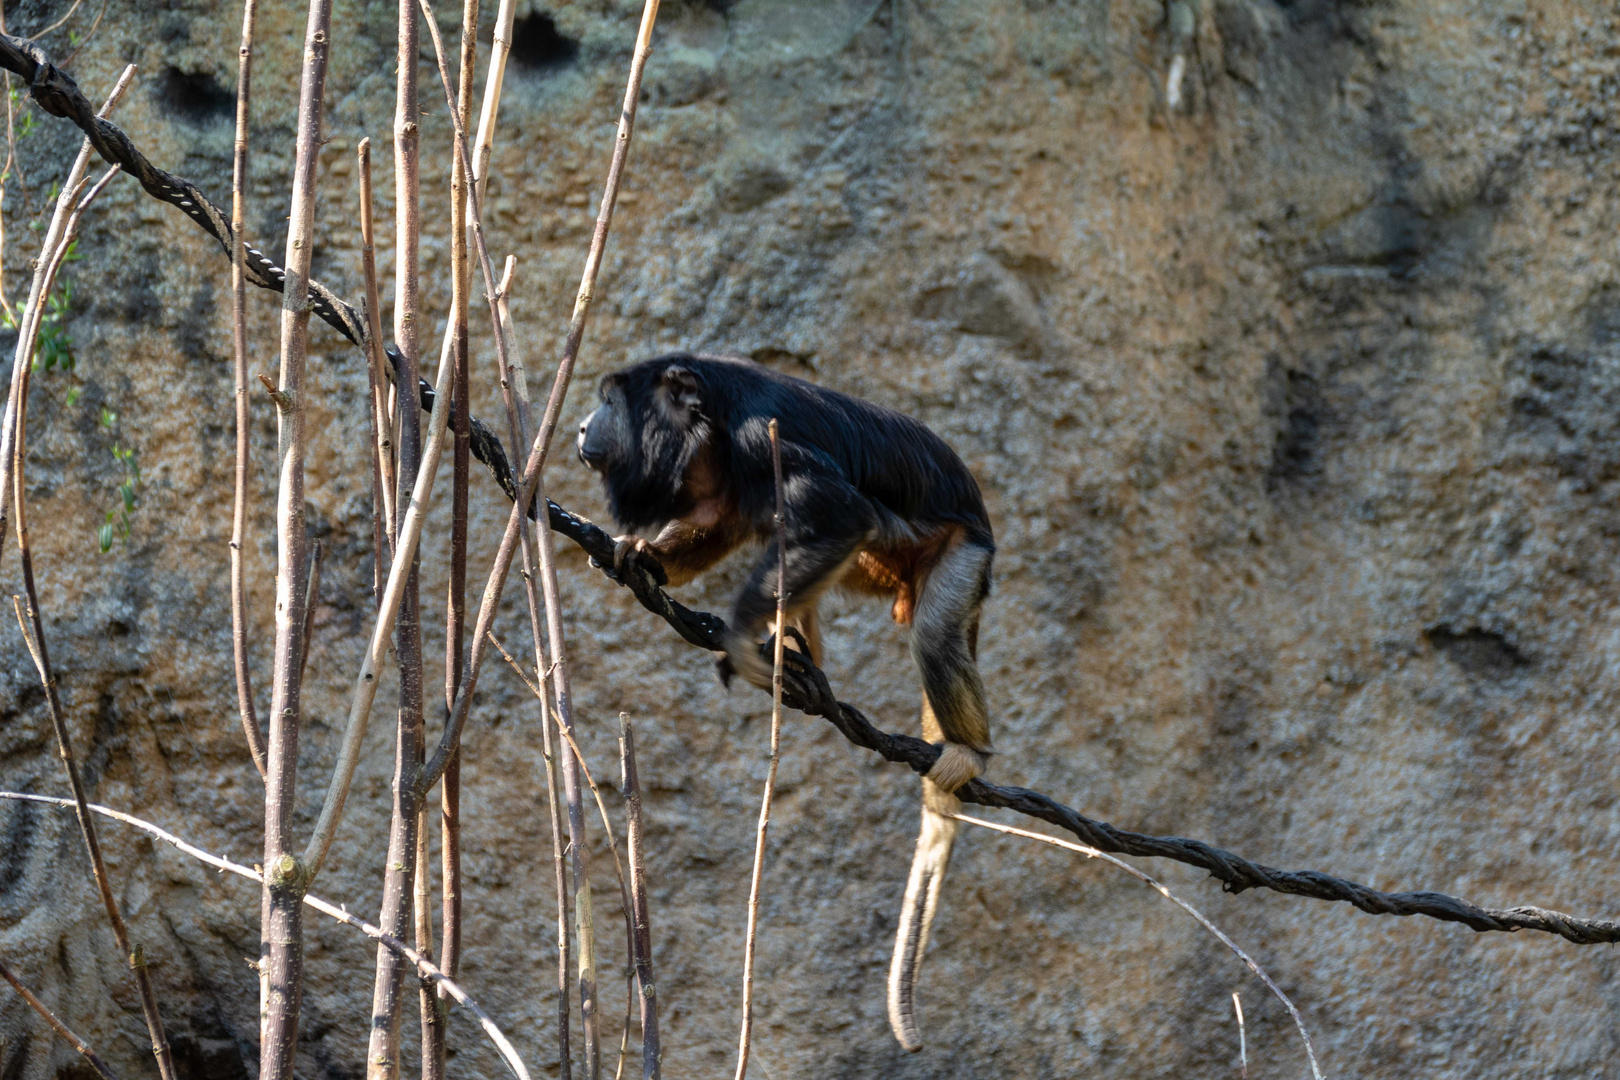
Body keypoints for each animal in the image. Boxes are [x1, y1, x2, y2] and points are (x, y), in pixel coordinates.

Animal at [576, 356, 991, 1055]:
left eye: (610, 402)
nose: (582, 423)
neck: (712, 425)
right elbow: (720, 524)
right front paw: (644, 553)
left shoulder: (758, 438)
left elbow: (842, 515)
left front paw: (742, 637)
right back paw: (801, 656)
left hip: (963, 553)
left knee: (931, 629)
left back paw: (968, 751)